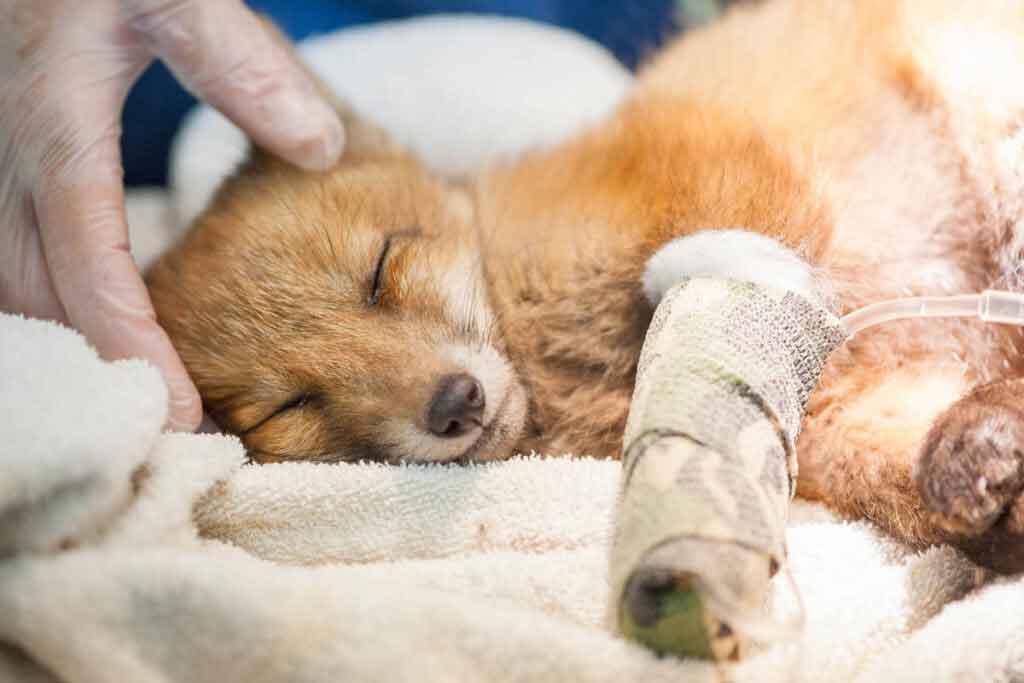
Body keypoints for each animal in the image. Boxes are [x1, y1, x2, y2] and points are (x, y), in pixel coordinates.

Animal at [147, 0, 1024, 572]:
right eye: (288, 406)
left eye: (382, 269)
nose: (453, 402)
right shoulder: (841, 415)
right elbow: (891, 469)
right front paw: (977, 476)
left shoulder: (717, 165)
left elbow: (747, 252)